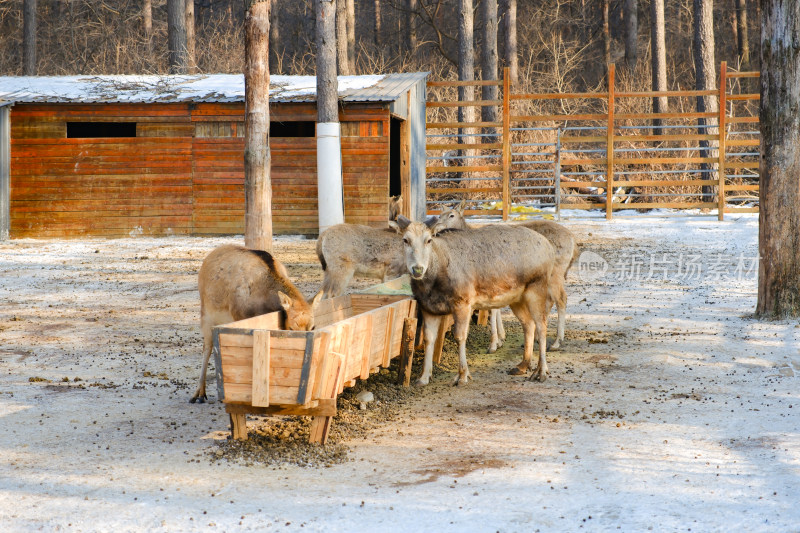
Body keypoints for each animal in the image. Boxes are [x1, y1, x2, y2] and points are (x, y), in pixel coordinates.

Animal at [191, 245, 322, 404]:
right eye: (291, 327)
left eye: (313, 327)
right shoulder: (239, 316)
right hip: (206, 314)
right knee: (207, 347)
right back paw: (199, 393)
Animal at [396, 217, 556, 386]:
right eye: (405, 240)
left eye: (428, 240)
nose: (417, 269)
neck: (432, 284)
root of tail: (549, 248)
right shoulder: (428, 307)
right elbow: (428, 339)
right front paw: (424, 377)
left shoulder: (463, 302)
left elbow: (460, 336)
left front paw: (462, 375)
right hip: (516, 298)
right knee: (529, 324)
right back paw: (523, 365)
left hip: (537, 287)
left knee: (542, 325)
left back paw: (541, 371)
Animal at [434, 202, 580, 352]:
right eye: (439, 215)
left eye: (452, 215)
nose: (436, 227)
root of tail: (573, 241)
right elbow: (497, 309)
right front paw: (501, 338)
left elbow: (493, 310)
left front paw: (493, 344)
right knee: (549, 300)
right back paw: (538, 338)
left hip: (555, 273)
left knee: (561, 299)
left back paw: (557, 342)